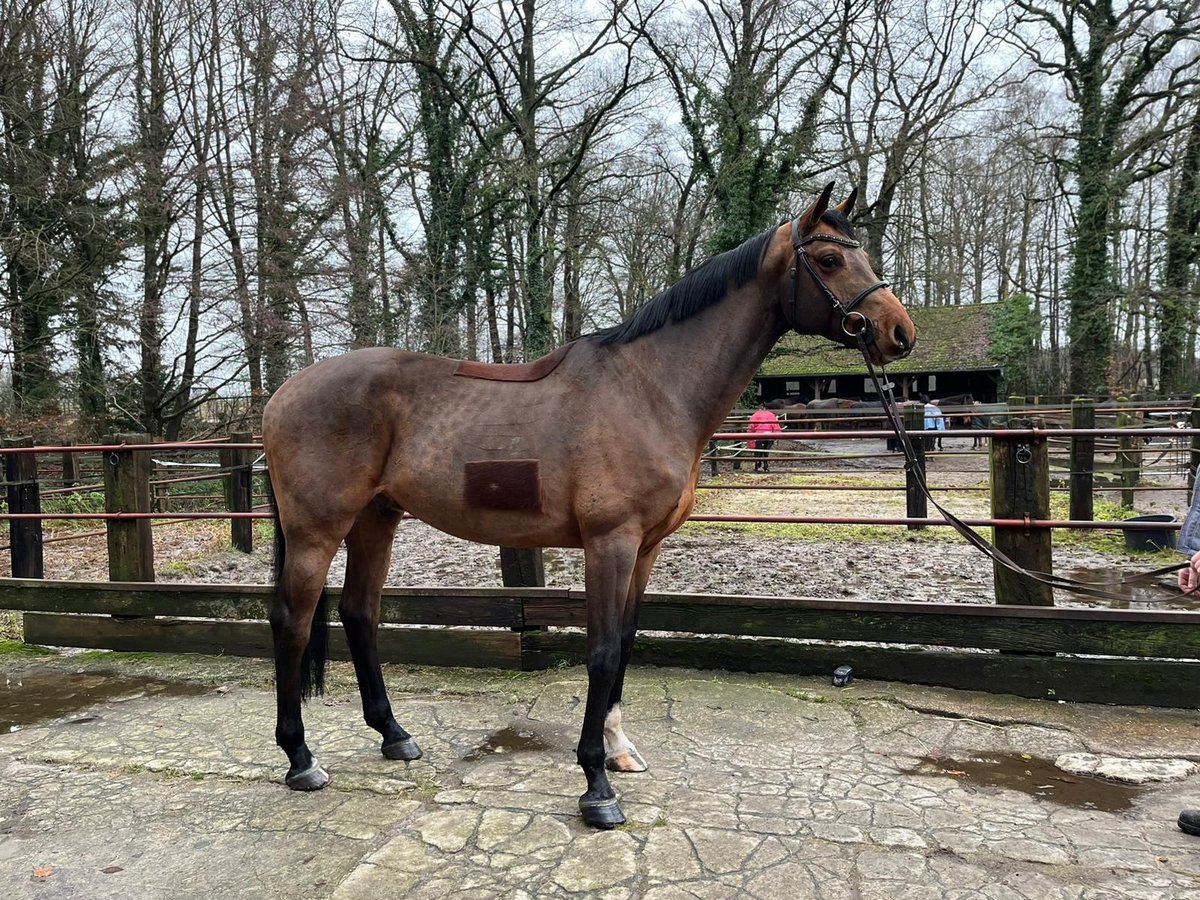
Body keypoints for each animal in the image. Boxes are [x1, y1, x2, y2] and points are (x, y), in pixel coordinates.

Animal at [262, 183, 912, 830]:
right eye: (829, 259)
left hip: (376, 520)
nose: (898, 332)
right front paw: (597, 786)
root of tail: (281, 394)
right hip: (317, 531)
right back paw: (300, 760)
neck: (651, 390)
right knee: (292, 622)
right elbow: (600, 652)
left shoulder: (645, 549)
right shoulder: (610, 543)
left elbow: (624, 643)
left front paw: (620, 750)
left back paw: (394, 735)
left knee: (360, 615)